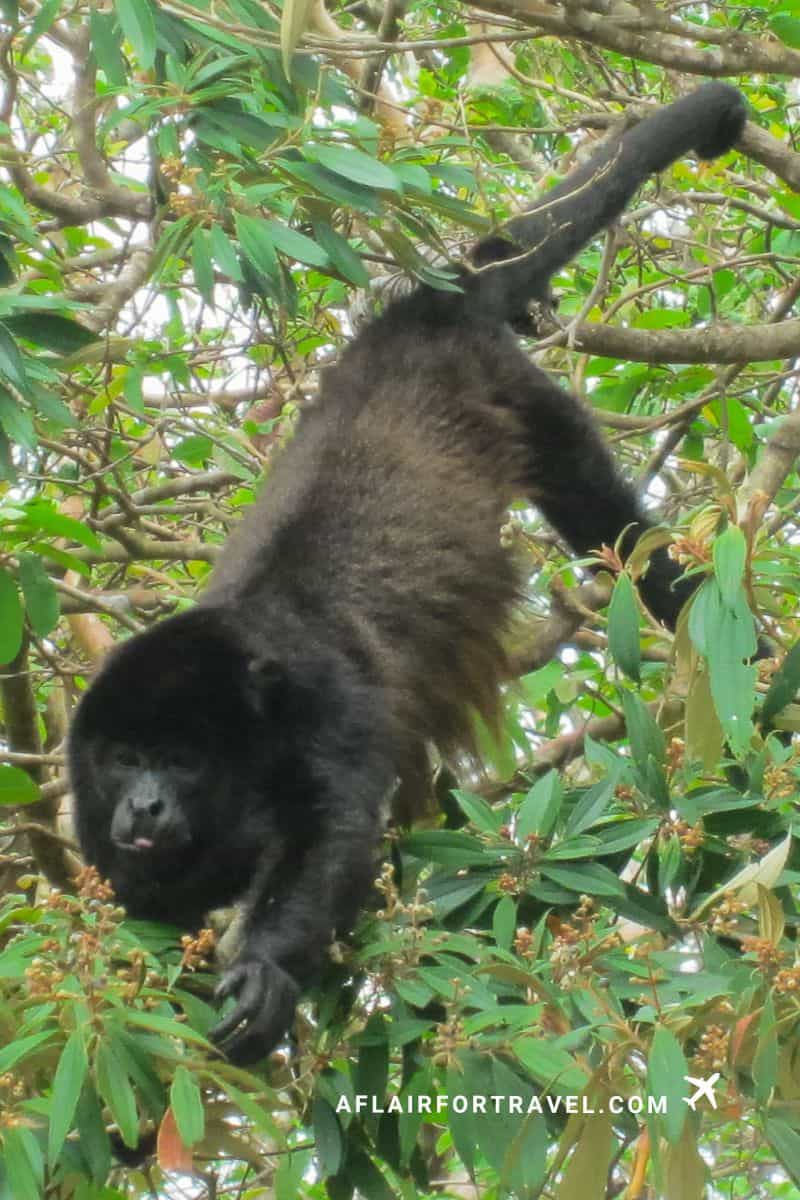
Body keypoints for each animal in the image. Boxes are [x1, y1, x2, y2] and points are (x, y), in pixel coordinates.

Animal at [67, 83, 747, 1065]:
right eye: (124, 760)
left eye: (183, 760)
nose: (146, 807)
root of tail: (417, 314)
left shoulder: (327, 700)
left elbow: (334, 832)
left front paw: (266, 972)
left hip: (512, 391)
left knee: (611, 526)